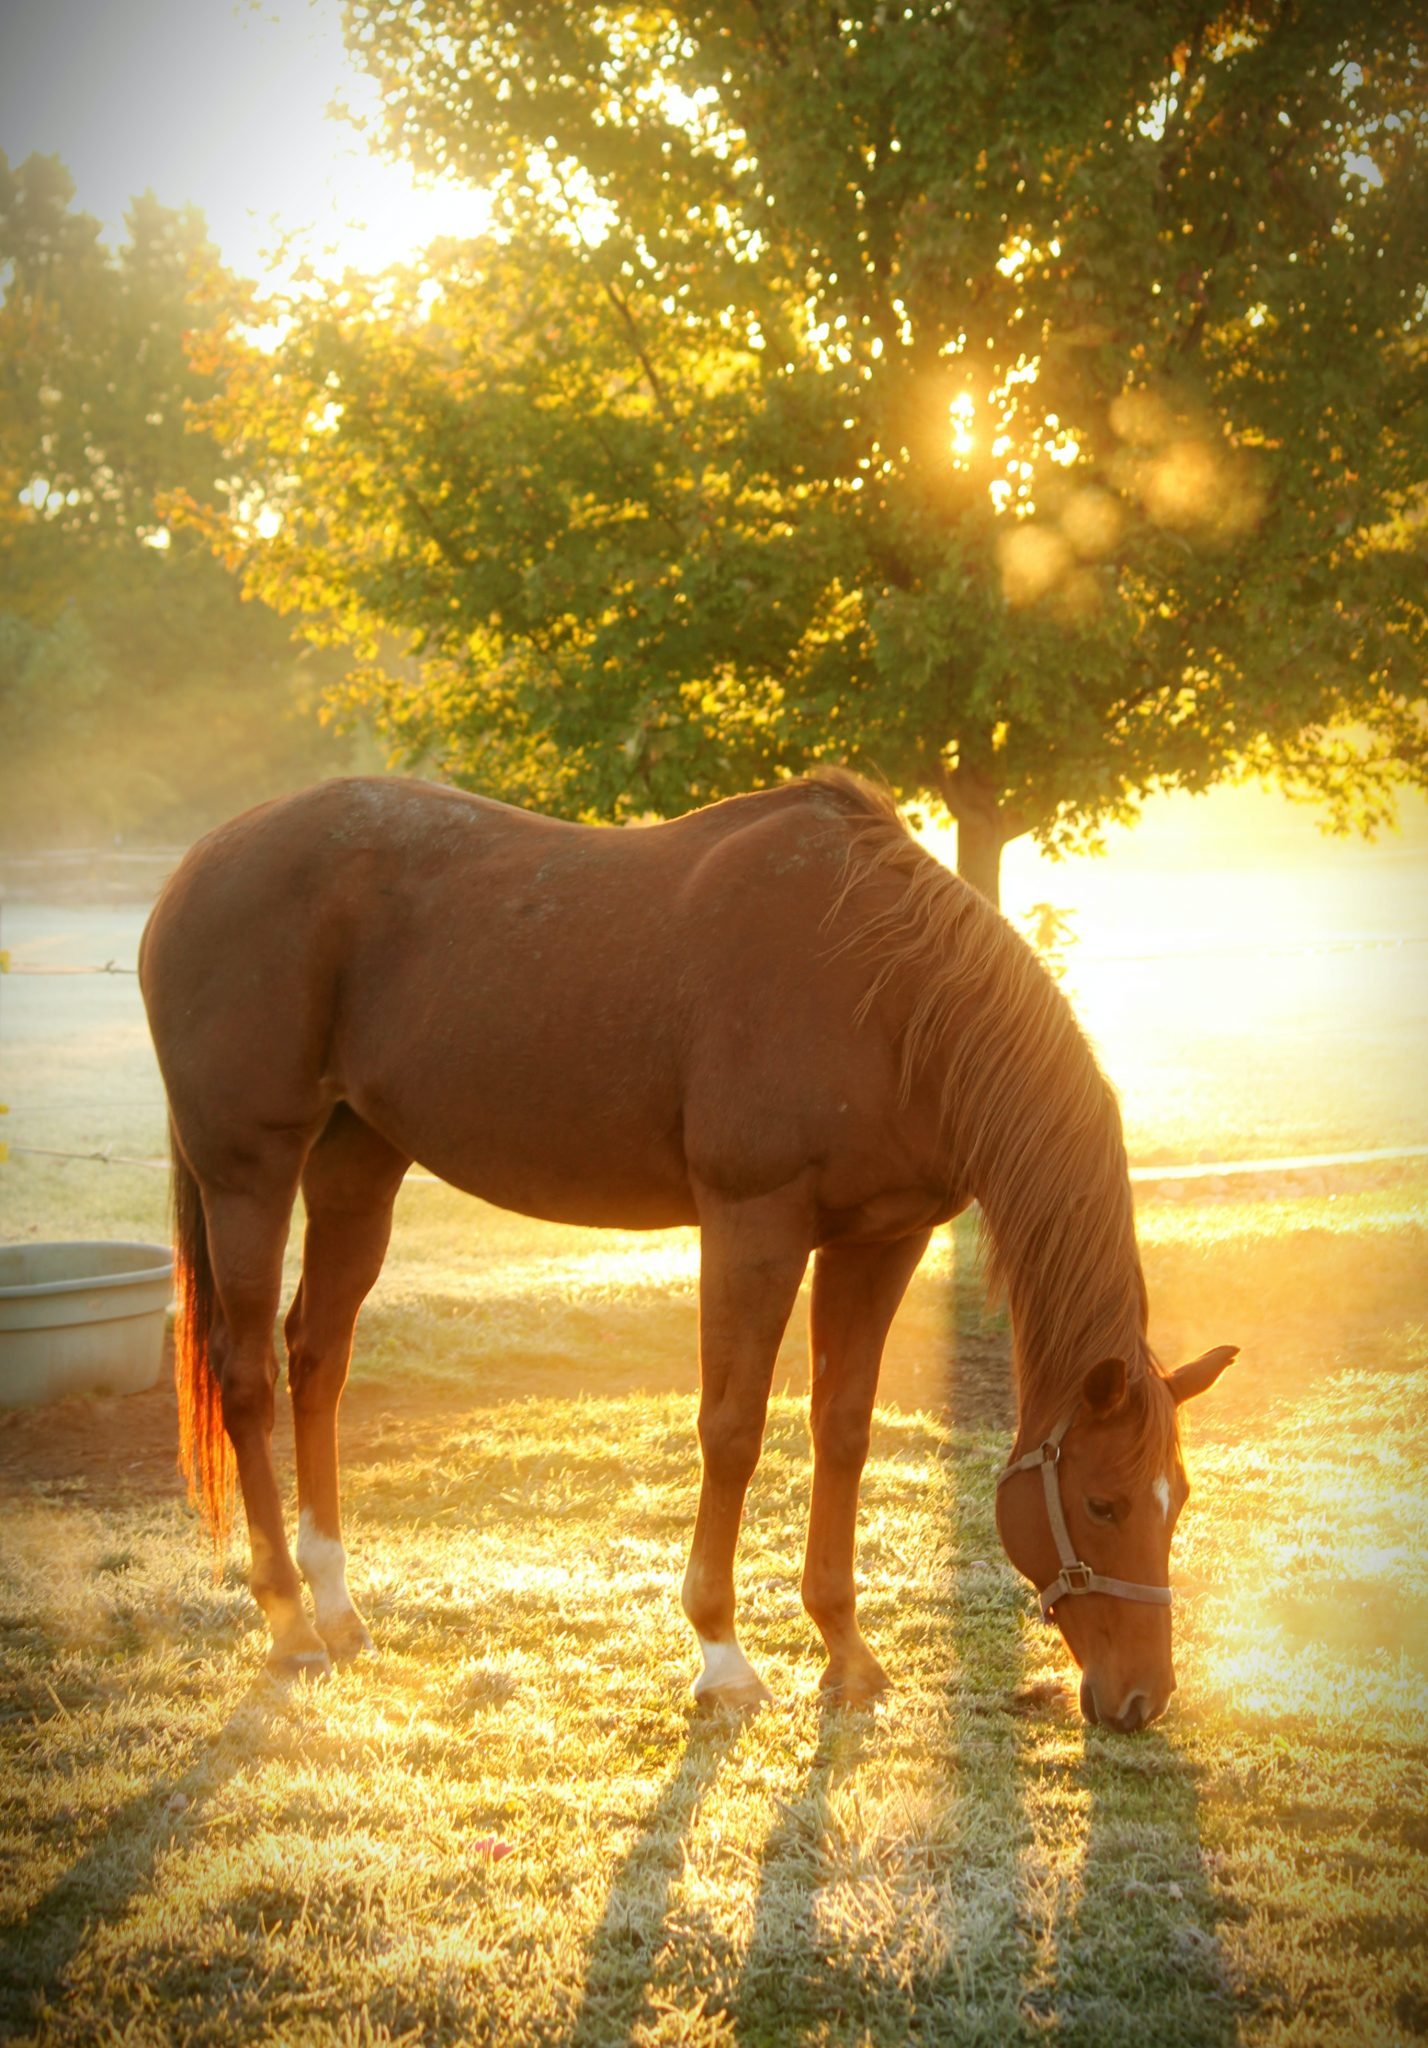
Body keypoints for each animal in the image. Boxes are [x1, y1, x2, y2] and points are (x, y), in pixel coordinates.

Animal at [147, 770, 1237, 1728]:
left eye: (1175, 1500)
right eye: (1101, 1503)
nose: (1141, 1700)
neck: (885, 990)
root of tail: (195, 868)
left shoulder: (880, 1238)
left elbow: (843, 1429)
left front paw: (846, 1653)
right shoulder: (754, 1222)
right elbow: (734, 1428)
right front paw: (723, 1659)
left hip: (358, 1164)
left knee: (318, 1358)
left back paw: (336, 1607)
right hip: (248, 1170)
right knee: (247, 1374)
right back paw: (289, 1623)